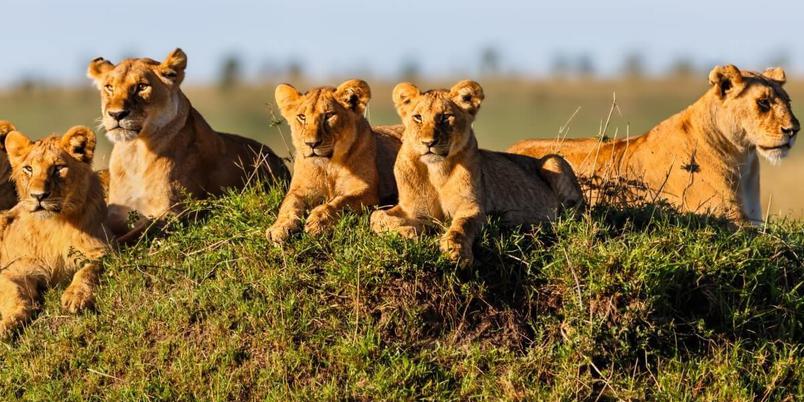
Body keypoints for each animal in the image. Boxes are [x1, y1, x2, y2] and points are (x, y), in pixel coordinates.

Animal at [0, 126, 109, 337]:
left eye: (58, 168)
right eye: (28, 169)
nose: (38, 196)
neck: (51, 226)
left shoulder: (102, 250)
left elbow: (88, 270)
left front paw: (76, 296)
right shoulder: (12, 268)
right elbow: (13, 291)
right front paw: (9, 321)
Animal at [87, 48, 291, 243]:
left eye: (141, 87)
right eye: (109, 87)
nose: (116, 114)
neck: (134, 153)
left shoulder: (177, 213)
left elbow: (132, 236)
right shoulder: (115, 213)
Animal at [266, 80, 403, 243]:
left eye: (329, 115)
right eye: (302, 117)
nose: (311, 144)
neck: (328, 166)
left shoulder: (367, 191)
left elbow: (340, 202)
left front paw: (318, 222)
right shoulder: (300, 189)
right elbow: (288, 204)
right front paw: (279, 227)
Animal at [370, 80, 583, 267]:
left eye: (445, 117)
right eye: (418, 117)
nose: (428, 142)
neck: (436, 171)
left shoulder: (472, 206)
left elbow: (462, 226)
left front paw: (455, 251)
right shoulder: (411, 209)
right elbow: (377, 216)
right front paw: (409, 231)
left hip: (554, 160)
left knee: (573, 216)